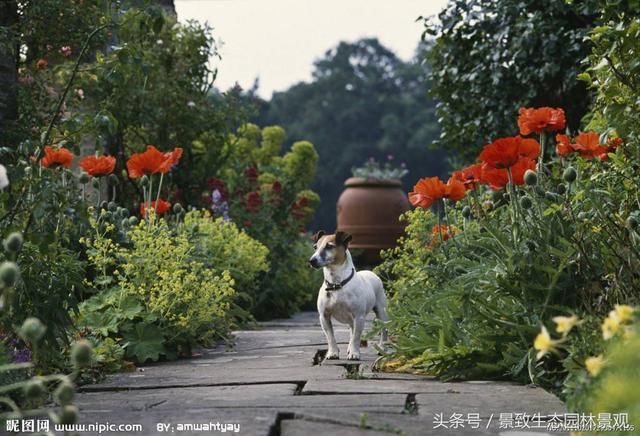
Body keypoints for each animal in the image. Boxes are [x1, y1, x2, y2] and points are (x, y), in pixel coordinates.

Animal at [308, 230, 388, 360]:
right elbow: (331, 337)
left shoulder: (359, 316)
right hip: (351, 320)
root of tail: (371, 272)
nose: (311, 260)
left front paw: (354, 353)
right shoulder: (324, 317)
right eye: (315, 247)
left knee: (384, 330)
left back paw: (383, 348)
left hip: (381, 312)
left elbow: (356, 337)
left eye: (329, 246)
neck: (336, 284)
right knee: (351, 331)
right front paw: (333, 353)